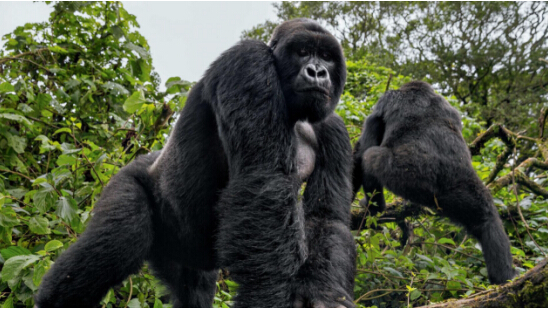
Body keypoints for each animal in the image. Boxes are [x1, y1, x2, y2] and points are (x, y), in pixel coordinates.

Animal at [35, 19, 360, 308]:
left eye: (327, 57)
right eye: (303, 51)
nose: (317, 72)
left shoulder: (333, 129)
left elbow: (326, 217)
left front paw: (324, 294)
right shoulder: (248, 62)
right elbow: (265, 184)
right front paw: (268, 297)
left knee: (194, 292)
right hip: (128, 179)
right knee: (113, 246)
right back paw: (54, 297)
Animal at [354, 81, 516, 284]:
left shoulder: (384, 102)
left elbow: (365, 141)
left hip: (404, 174)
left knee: (370, 156)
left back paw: (374, 207)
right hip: (464, 189)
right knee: (487, 220)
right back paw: (505, 279)